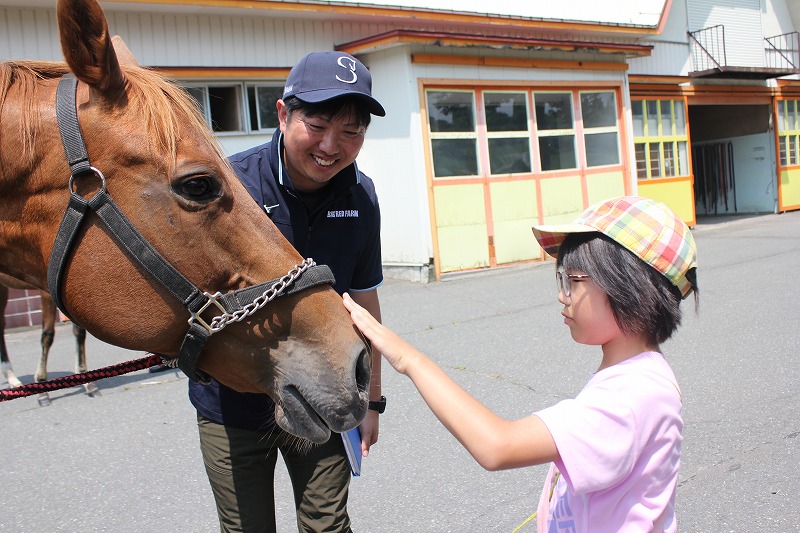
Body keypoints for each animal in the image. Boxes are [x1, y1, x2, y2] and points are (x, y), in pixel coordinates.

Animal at [0, 275, 97, 406]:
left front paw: (87, 382)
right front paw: (42, 388)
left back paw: (12, 379)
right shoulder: (46, 292)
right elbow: (48, 334)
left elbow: (80, 331)